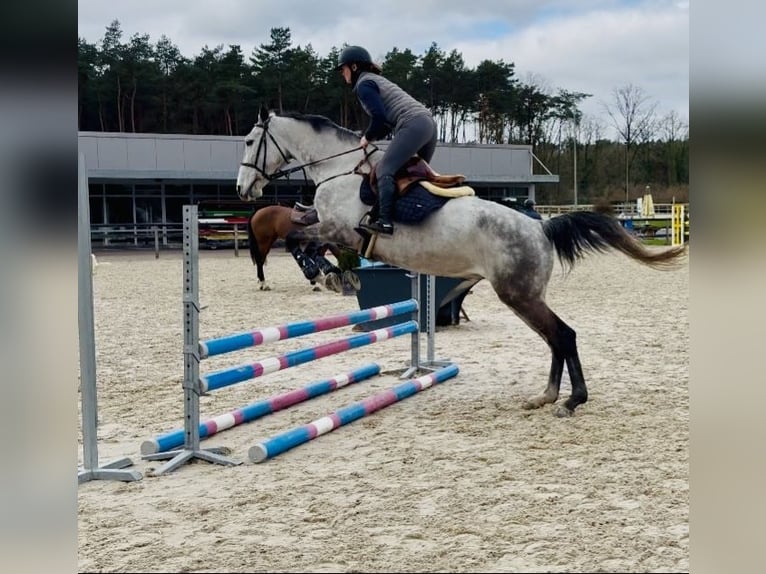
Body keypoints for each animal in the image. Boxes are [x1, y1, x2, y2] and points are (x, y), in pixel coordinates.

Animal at [236, 109, 687, 417]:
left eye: (249, 142)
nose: (242, 189)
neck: (337, 169)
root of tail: (540, 228)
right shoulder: (326, 225)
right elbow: (300, 232)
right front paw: (334, 276)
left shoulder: (339, 229)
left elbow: (302, 241)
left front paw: (329, 276)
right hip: (523, 297)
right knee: (555, 338)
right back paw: (548, 396)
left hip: (518, 295)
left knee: (563, 335)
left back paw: (570, 401)